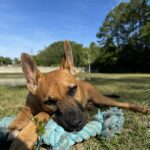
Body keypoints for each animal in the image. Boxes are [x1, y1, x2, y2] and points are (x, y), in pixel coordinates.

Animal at [7, 41, 149, 150]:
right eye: (48, 102)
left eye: (73, 89)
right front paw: (13, 127)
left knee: (123, 103)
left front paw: (23, 139)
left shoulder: (45, 113)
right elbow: (22, 115)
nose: (75, 124)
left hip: (102, 99)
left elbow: (40, 115)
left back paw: (140, 108)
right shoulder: (28, 106)